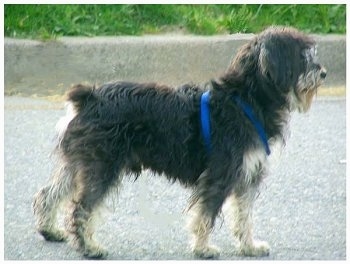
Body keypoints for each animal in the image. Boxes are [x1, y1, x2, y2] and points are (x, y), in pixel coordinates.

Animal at [32, 25, 326, 258]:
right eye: (303, 57)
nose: (323, 73)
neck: (245, 100)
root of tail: (89, 98)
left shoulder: (247, 176)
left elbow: (243, 217)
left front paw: (250, 246)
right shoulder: (220, 175)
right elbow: (206, 215)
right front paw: (203, 248)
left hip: (79, 164)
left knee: (49, 194)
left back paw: (50, 230)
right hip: (101, 167)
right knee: (81, 209)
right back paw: (89, 247)